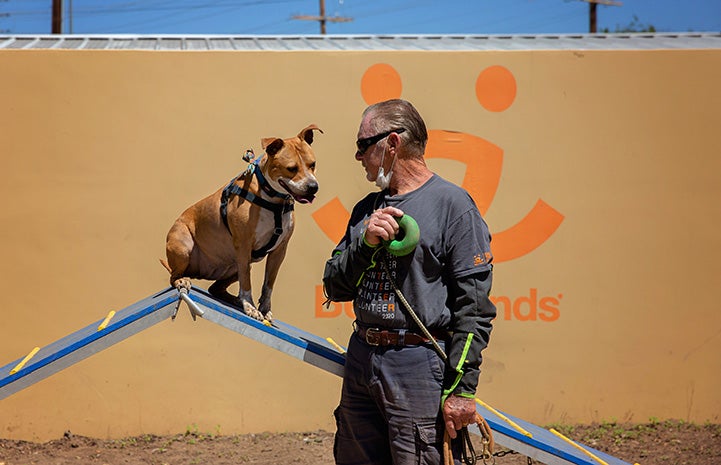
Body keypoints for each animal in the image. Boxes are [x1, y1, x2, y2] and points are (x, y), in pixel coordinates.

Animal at [163, 125, 324, 320]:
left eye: (312, 164)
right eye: (291, 168)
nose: (313, 187)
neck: (273, 200)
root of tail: (198, 273)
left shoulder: (279, 251)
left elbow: (269, 283)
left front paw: (264, 309)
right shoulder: (244, 245)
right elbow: (246, 282)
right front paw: (250, 307)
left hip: (237, 264)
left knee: (216, 287)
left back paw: (234, 299)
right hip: (184, 246)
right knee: (174, 276)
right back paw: (182, 280)